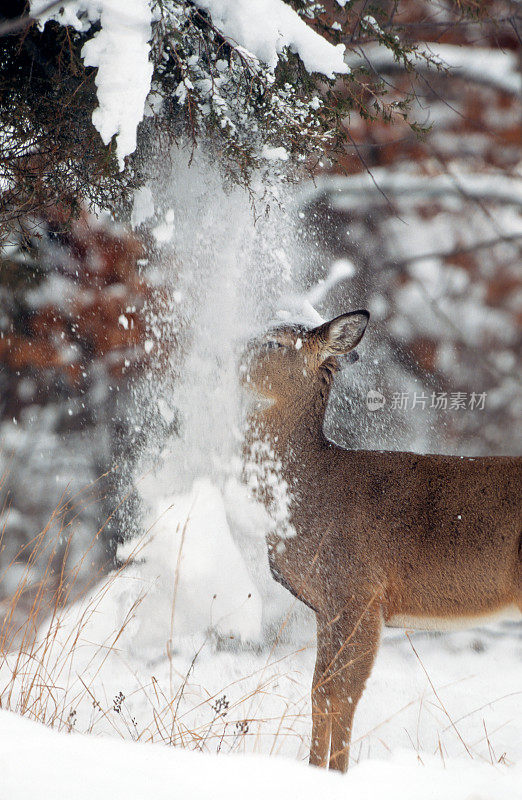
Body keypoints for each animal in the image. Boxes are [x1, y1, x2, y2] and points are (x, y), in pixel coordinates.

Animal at [240, 310, 520, 772]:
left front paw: (335, 774)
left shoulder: (359, 592)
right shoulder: (328, 606)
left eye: (275, 342)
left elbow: (341, 695)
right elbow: (319, 691)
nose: (224, 356)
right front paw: (314, 771)